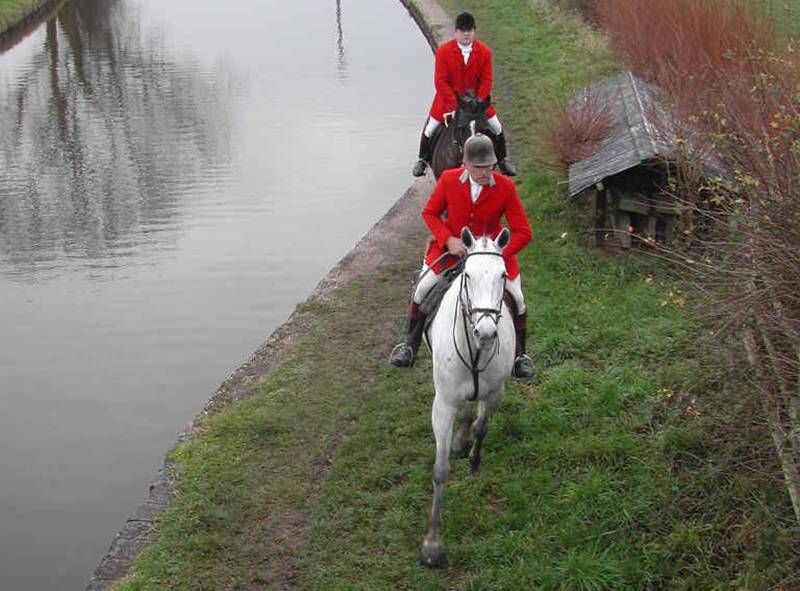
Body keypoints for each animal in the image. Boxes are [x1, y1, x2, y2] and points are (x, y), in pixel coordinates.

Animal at [418, 225, 512, 568]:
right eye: (468, 275)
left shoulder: (495, 392)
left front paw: (473, 463)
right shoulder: (443, 406)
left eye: (503, 274)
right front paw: (432, 544)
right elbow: (440, 470)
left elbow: (482, 428)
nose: (485, 333)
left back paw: (463, 440)